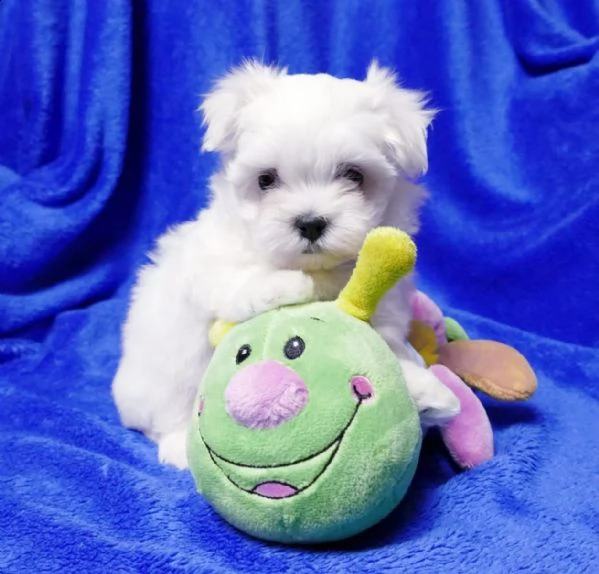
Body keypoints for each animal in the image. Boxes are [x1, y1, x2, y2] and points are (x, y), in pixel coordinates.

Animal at [112, 60, 460, 470]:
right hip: (166, 365)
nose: (310, 223)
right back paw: (178, 446)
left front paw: (426, 389)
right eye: (266, 180)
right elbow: (237, 283)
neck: (322, 269)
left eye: (353, 175)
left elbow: (387, 349)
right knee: (169, 409)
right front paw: (288, 285)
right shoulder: (210, 266)